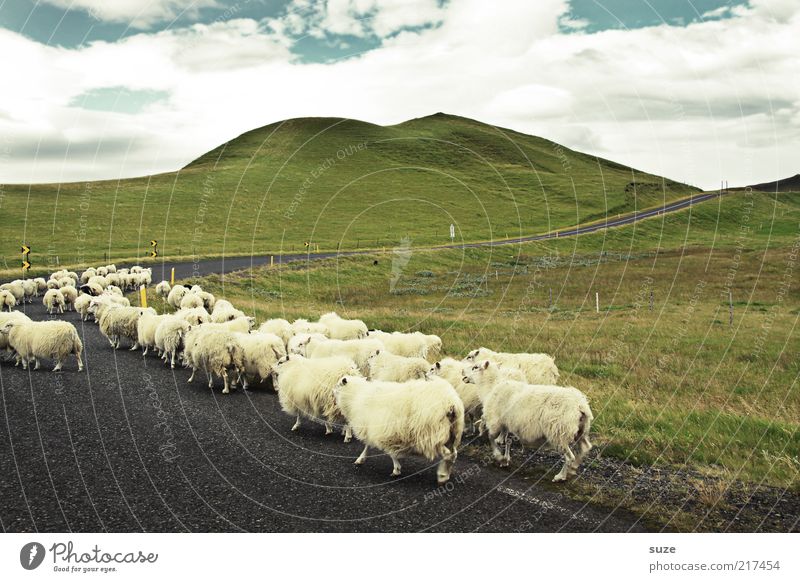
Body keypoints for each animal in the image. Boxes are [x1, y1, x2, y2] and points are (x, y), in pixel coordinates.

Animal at [334, 376, 466, 486]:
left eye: (338, 385)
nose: (332, 391)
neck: (355, 395)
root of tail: (451, 403)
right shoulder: (374, 428)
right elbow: (369, 445)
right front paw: (361, 459)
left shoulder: (381, 430)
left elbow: (388, 451)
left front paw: (396, 469)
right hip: (452, 433)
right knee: (453, 453)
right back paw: (446, 474)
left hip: (433, 434)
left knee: (448, 454)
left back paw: (442, 476)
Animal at [462, 360, 592, 484]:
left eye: (475, 367)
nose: (462, 372)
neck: (491, 387)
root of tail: (580, 405)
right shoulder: (507, 423)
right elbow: (506, 441)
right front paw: (506, 459)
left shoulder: (495, 421)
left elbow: (491, 438)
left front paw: (499, 457)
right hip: (581, 431)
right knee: (585, 448)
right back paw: (573, 469)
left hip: (559, 433)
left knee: (570, 457)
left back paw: (560, 476)